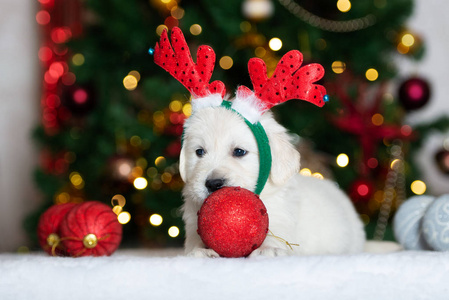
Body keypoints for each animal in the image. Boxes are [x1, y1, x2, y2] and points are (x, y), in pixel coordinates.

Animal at [178, 103, 364, 258]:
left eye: (239, 151)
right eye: (199, 152)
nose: (213, 184)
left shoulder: (281, 214)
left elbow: (274, 234)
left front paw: (268, 249)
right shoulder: (192, 221)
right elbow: (194, 240)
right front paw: (201, 250)